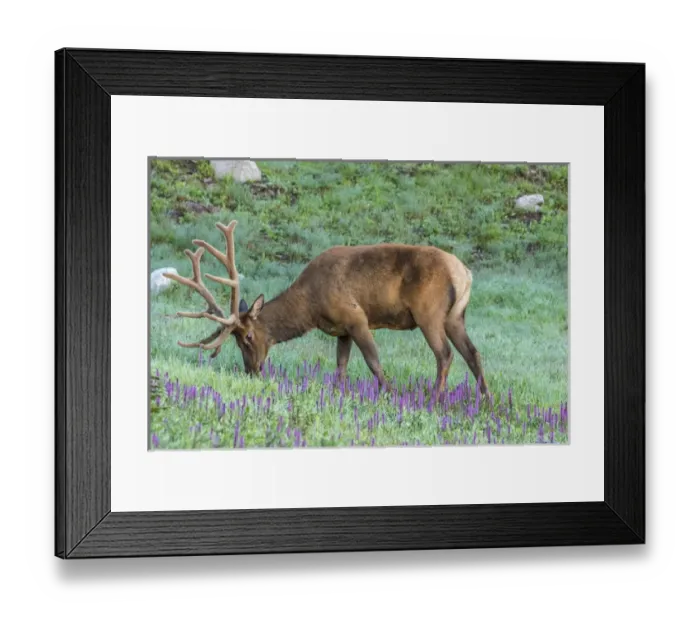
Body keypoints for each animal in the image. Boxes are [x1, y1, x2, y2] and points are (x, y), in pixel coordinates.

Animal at [163, 219, 489, 398]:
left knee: (445, 355)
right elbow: (341, 367)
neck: (311, 305)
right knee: (472, 353)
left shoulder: (356, 317)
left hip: (429, 313)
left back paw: (435, 399)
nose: (251, 371)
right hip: (455, 316)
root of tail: (465, 273)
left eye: (248, 337)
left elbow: (373, 361)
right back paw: (484, 399)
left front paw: (389, 393)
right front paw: (339, 395)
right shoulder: (342, 330)